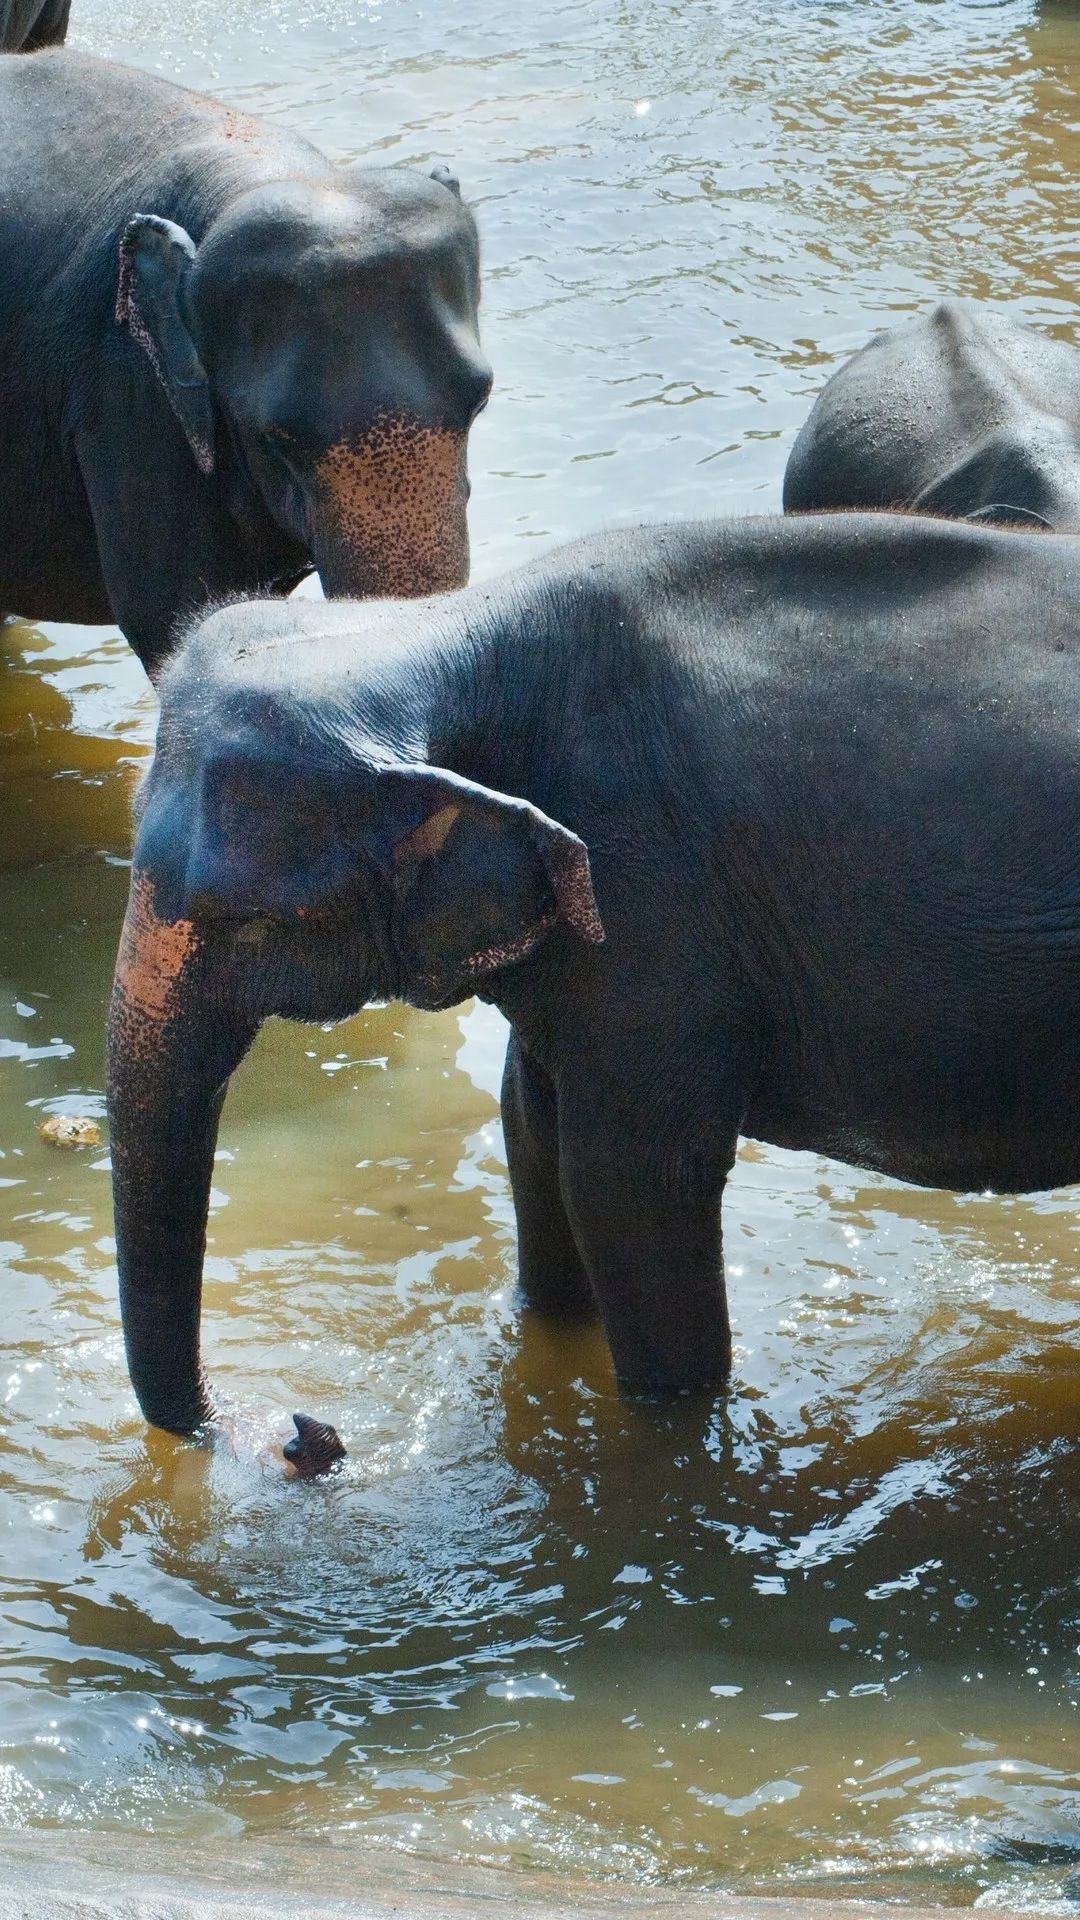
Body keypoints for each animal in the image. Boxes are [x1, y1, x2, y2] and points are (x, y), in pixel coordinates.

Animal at [105, 509, 1080, 1443]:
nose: (304, 1430)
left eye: (250, 920)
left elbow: (630, 1180)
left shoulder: (655, 906)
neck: (441, 631)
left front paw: (667, 1430)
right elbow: (532, 1126)